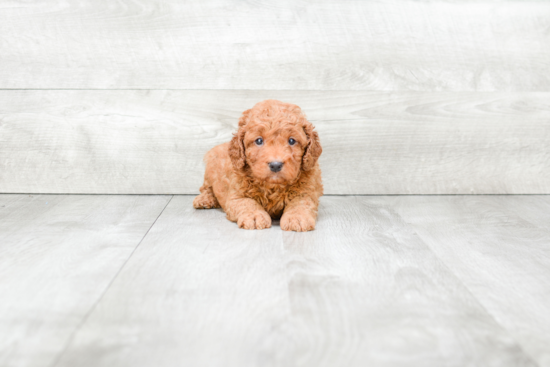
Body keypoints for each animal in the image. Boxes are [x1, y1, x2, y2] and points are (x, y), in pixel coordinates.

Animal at [194, 100, 324, 233]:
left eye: (292, 141)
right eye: (259, 141)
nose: (275, 165)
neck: (273, 186)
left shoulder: (307, 191)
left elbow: (301, 203)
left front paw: (296, 218)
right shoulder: (237, 195)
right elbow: (247, 203)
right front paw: (254, 216)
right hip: (210, 166)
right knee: (206, 188)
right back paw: (204, 200)